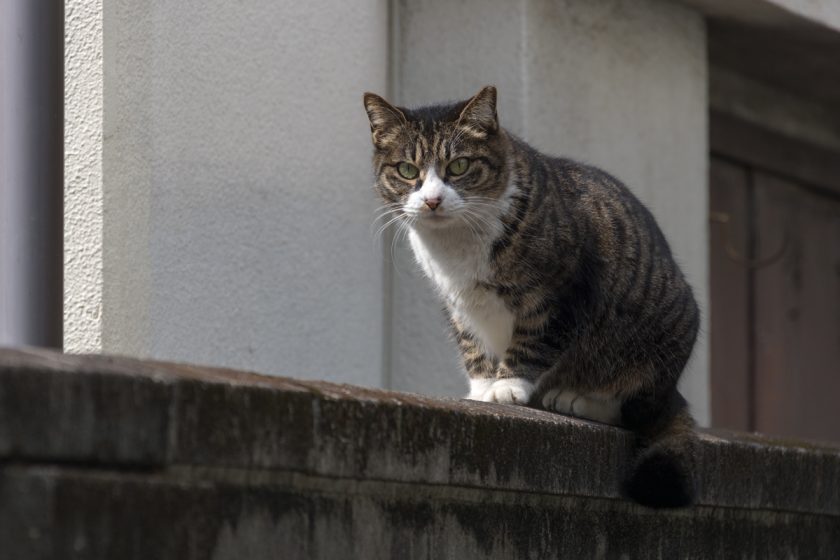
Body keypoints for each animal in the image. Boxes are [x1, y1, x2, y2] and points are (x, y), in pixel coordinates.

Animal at [364, 84, 700, 508]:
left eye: (459, 166)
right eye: (408, 170)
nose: (432, 201)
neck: (456, 248)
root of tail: (674, 392)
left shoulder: (559, 292)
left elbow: (534, 339)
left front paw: (509, 386)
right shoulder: (459, 306)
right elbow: (472, 347)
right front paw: (481, 390)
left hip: (654, 345)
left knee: (636, 408)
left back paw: (576, 398)